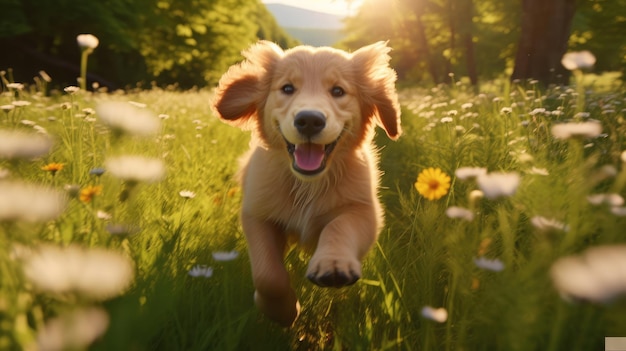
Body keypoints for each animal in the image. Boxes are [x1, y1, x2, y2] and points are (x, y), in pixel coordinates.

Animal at [212, 42, 400, 328]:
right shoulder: (257, 214)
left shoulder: (364, 209)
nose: (309, 120)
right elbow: (268, 276)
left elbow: (339, 226)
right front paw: (283, 312)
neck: (307, 184)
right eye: (288, 88)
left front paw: (333, 264)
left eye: (338, 91)